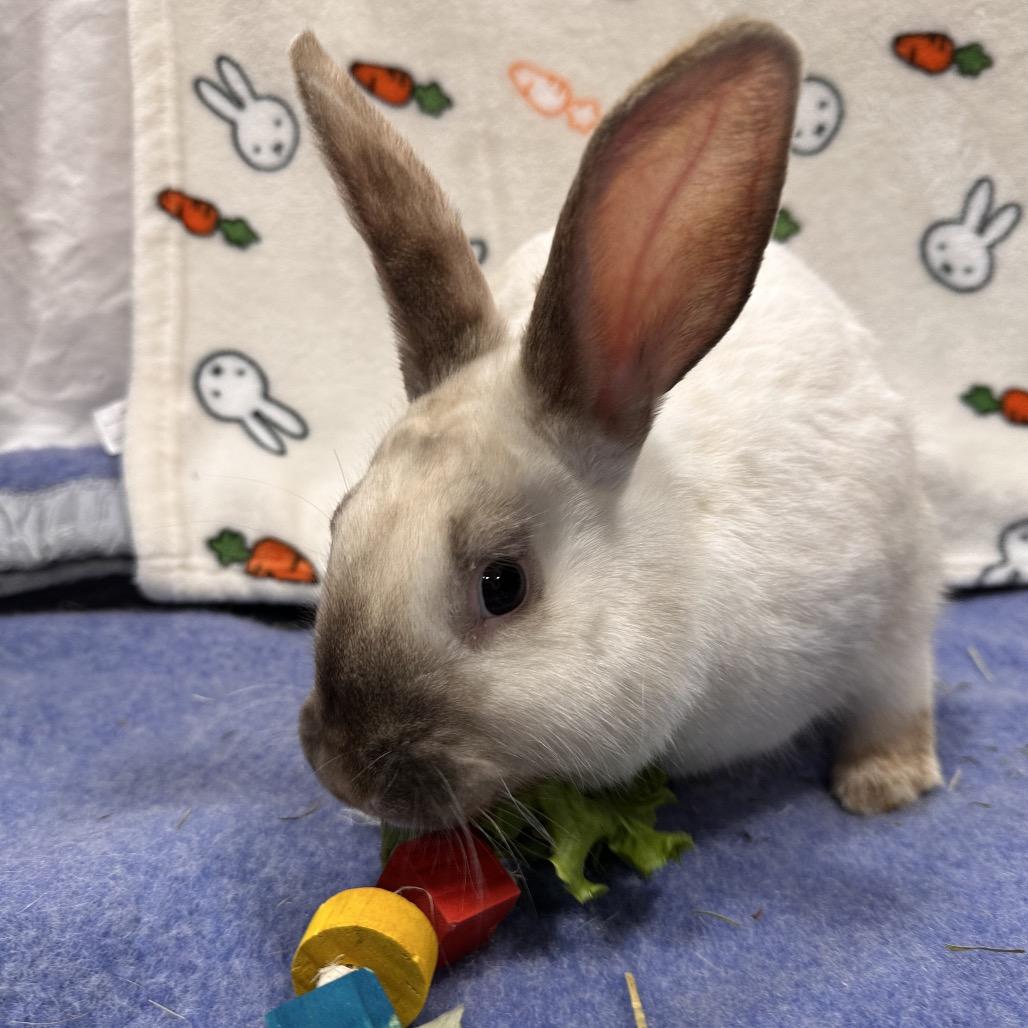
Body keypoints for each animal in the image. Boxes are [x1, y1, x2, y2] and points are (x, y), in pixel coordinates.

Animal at [289, 20, 944, 831]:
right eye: (339, 523)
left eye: (503, 585)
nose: (344, 773)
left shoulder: (890, 610)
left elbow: (895, 690)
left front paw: (881, 785)